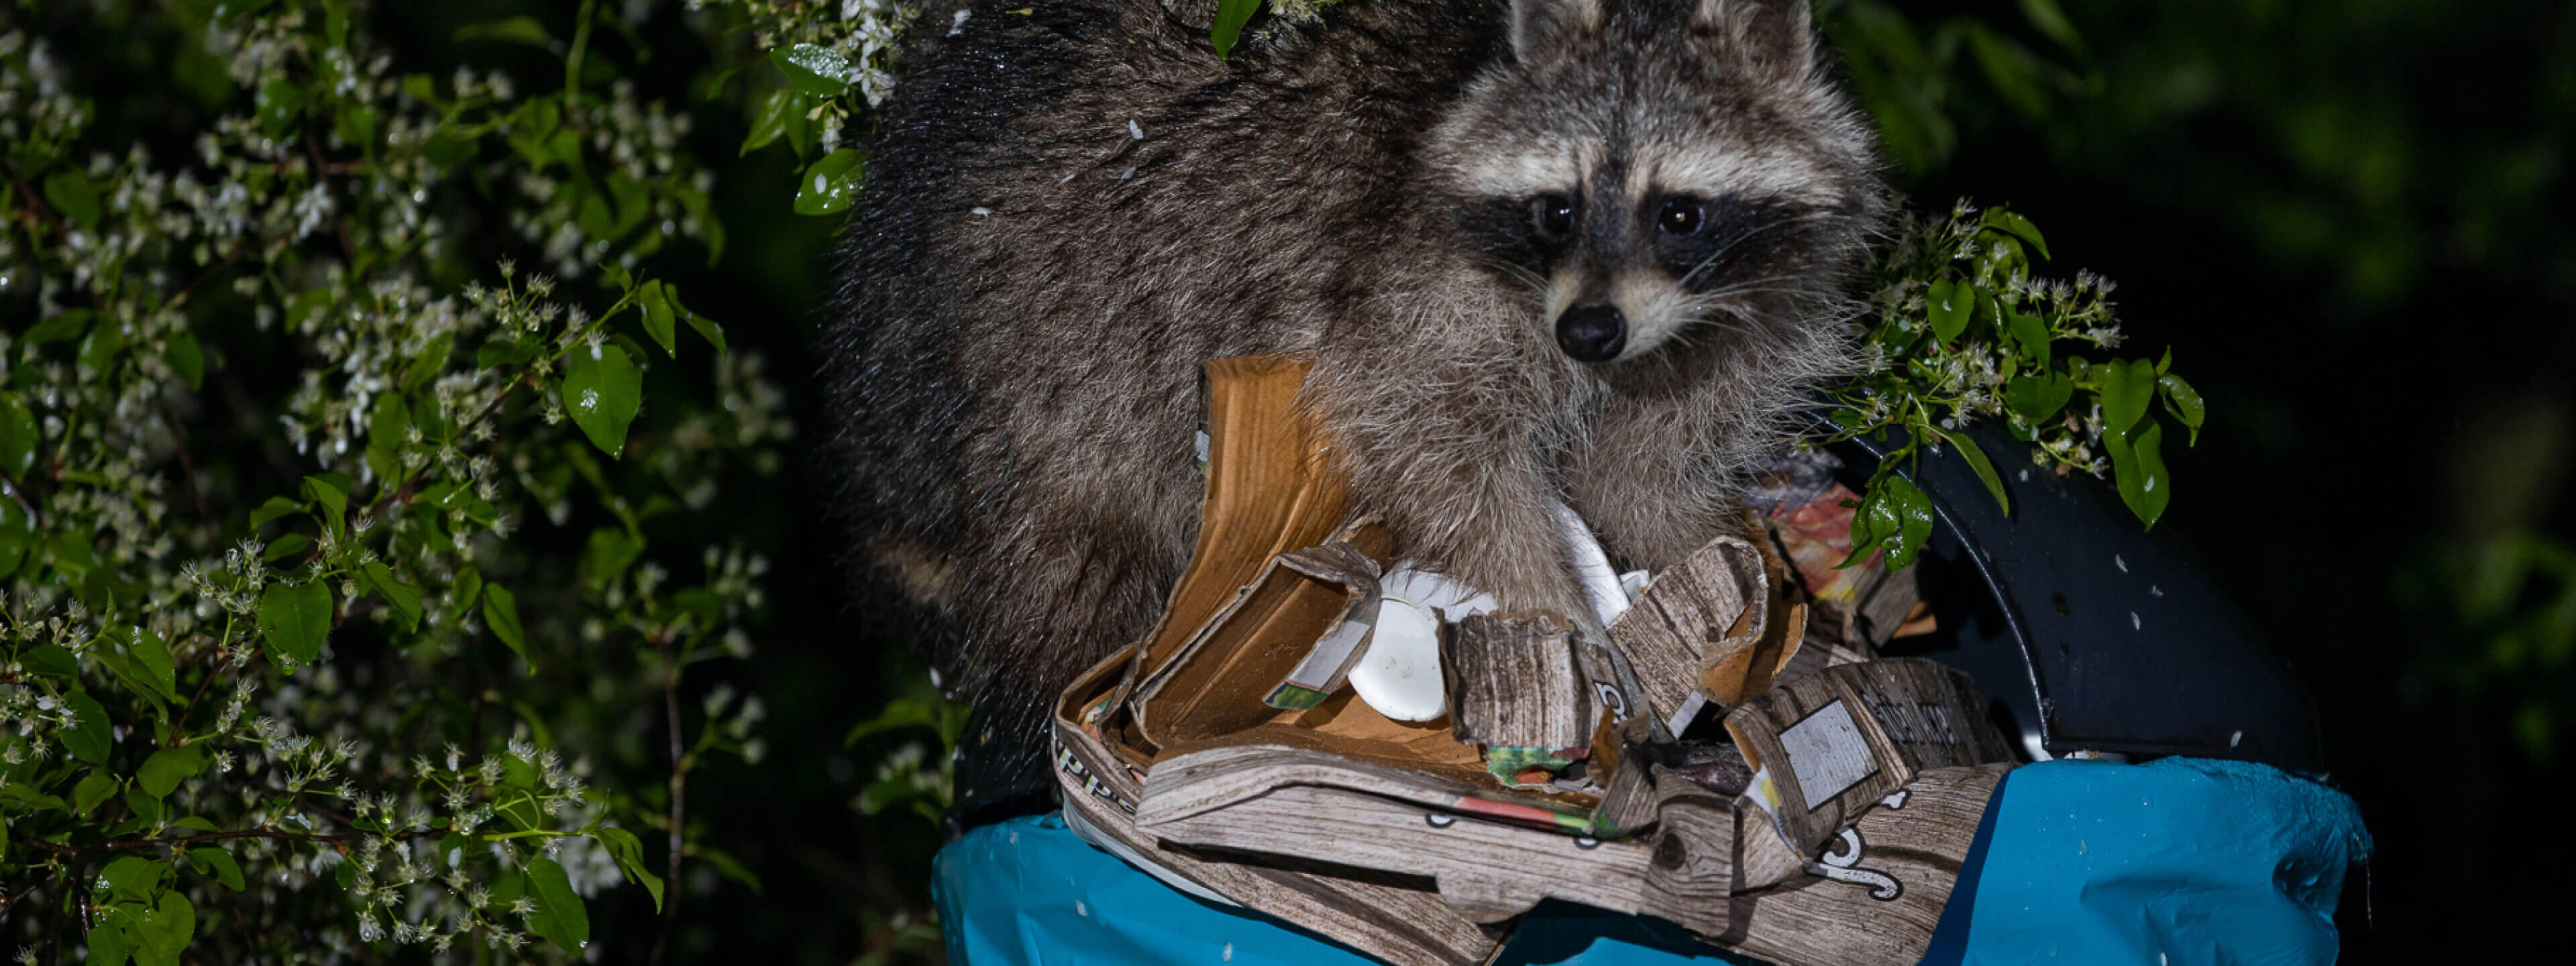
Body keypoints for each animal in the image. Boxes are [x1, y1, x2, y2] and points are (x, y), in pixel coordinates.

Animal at [829, 0, 1896, 788]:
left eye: (1679, 214)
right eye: (1556, 209)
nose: (1587, 334)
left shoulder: (1739, 325)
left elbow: (1637, 479)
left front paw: (1745, 596)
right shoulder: (1415, 283)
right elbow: (1429, 441)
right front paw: (1559, 613)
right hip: (1043, 366)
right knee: (1078, 566)